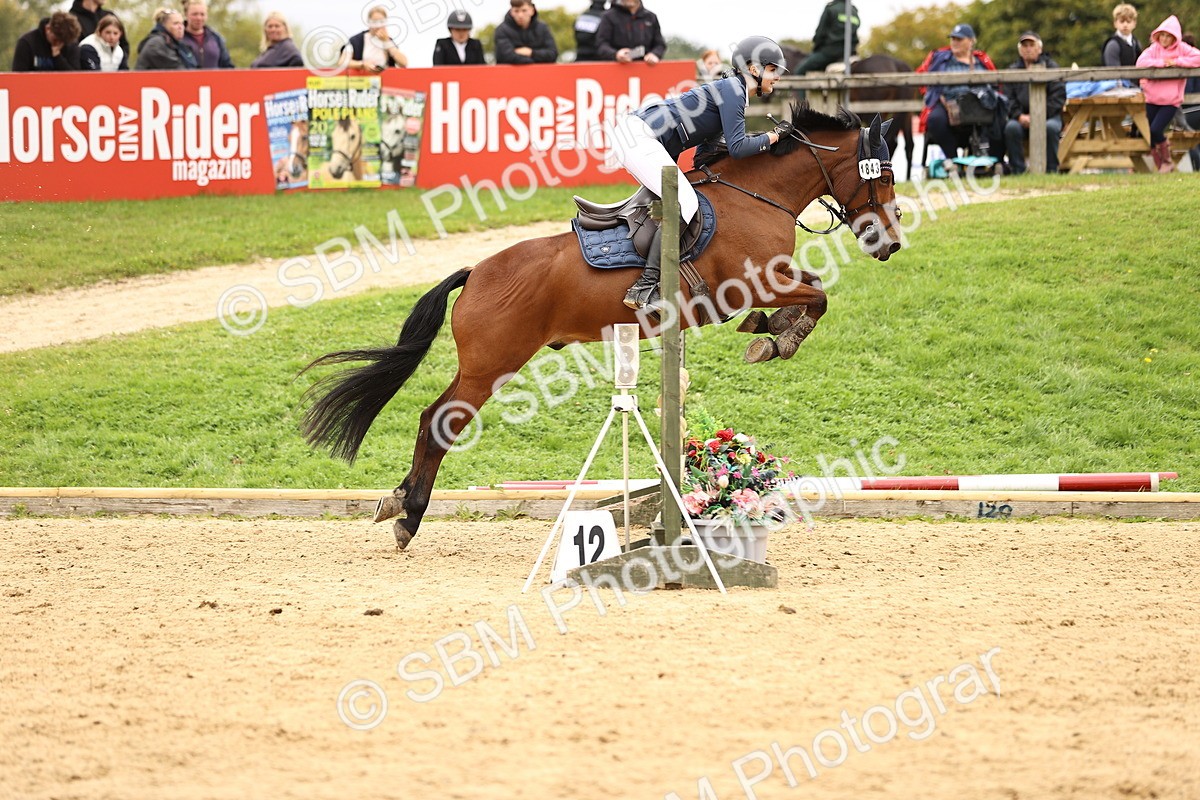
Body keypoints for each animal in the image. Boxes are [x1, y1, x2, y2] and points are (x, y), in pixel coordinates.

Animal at [301, 104, 902, 549]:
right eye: (886, 175)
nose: (890, 244)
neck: (755, 198)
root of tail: (476, 273)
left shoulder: (770, 280)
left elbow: (812, 290)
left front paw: (771, 330)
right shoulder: (752, 283)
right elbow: (818, 295)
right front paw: (778, 339)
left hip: (484, 364)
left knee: (432, 419)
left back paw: (399, 503)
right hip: (492, 365)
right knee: (439, 422)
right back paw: (408, 516)